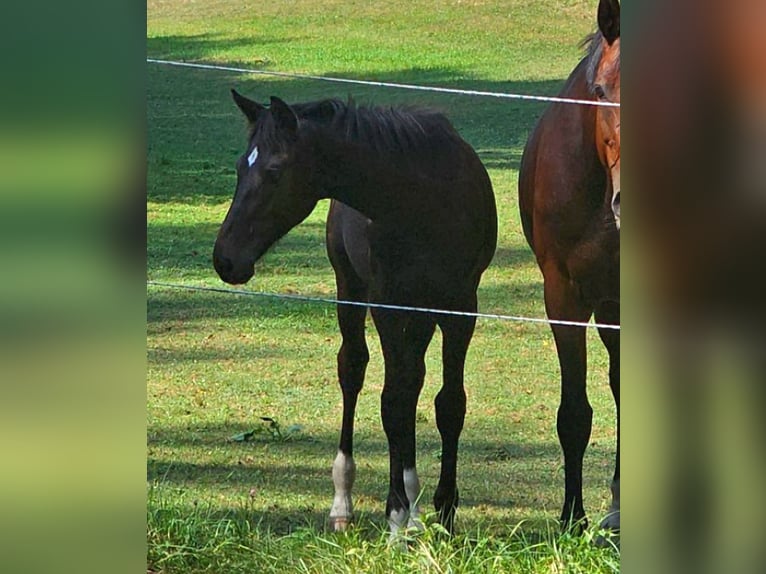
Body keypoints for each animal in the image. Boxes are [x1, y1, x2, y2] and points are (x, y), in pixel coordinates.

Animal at [213, 92, 498, 536]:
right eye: (242, 166)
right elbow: (391, 403)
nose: (225, 259)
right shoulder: (385, 303)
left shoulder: (460, 305)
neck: (424, 198)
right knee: (354, 369)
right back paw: (345, 502)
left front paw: (444, 512)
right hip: (350, 287)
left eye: (274, 171)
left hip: (421, 312)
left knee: (412, 380)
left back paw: (415, 509)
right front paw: (396, 514)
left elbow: (448, 403)